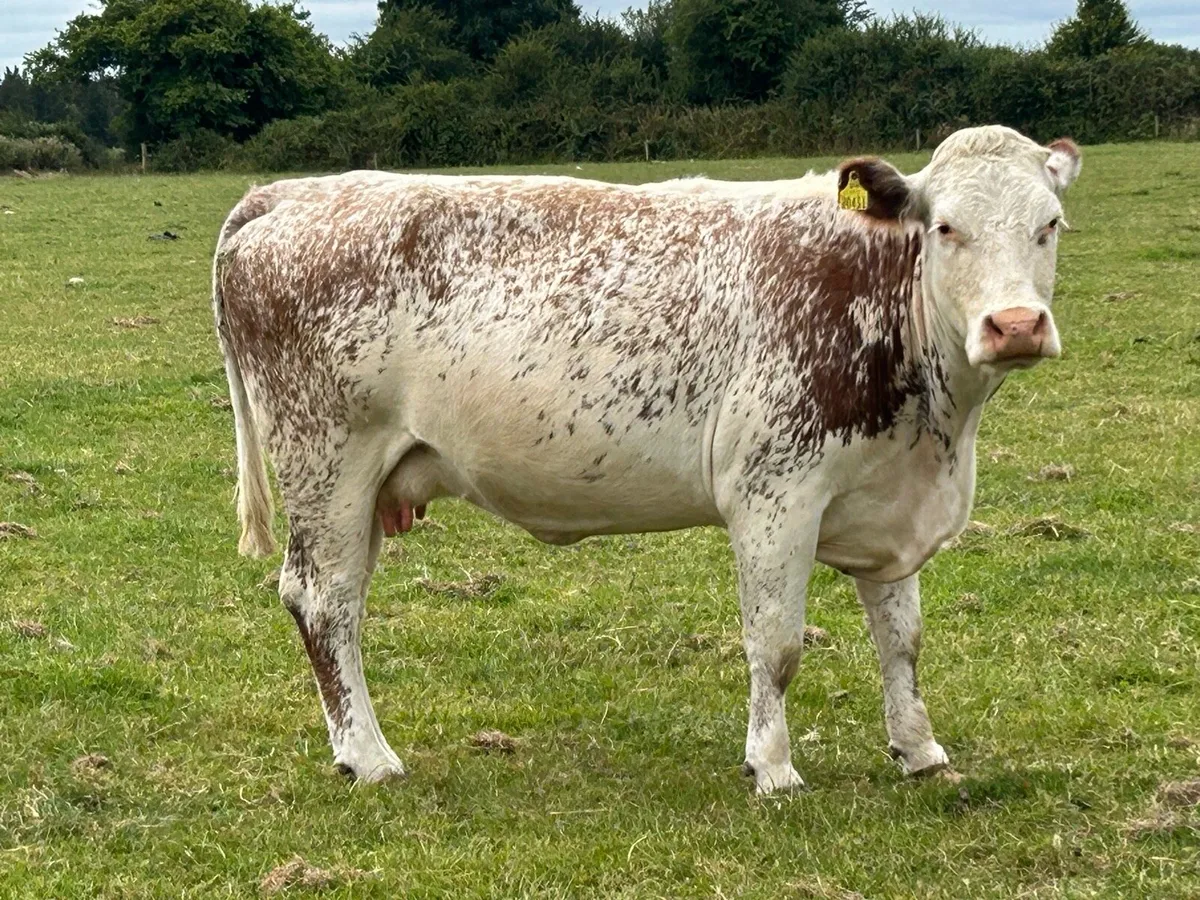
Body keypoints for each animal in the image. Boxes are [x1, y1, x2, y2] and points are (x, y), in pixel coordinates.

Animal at [213, 125, 1081, 793]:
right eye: (946, 228)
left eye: (1051, 224)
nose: (1015, 325)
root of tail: (292, 193)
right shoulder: (774, 495)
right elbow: (777, 643)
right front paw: (773, 769)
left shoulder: (887, 500)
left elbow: (901, 639)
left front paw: (920, 750)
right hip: (327, 462)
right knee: (324, 601)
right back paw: (369, 757)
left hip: (363, 485)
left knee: (337, 600)